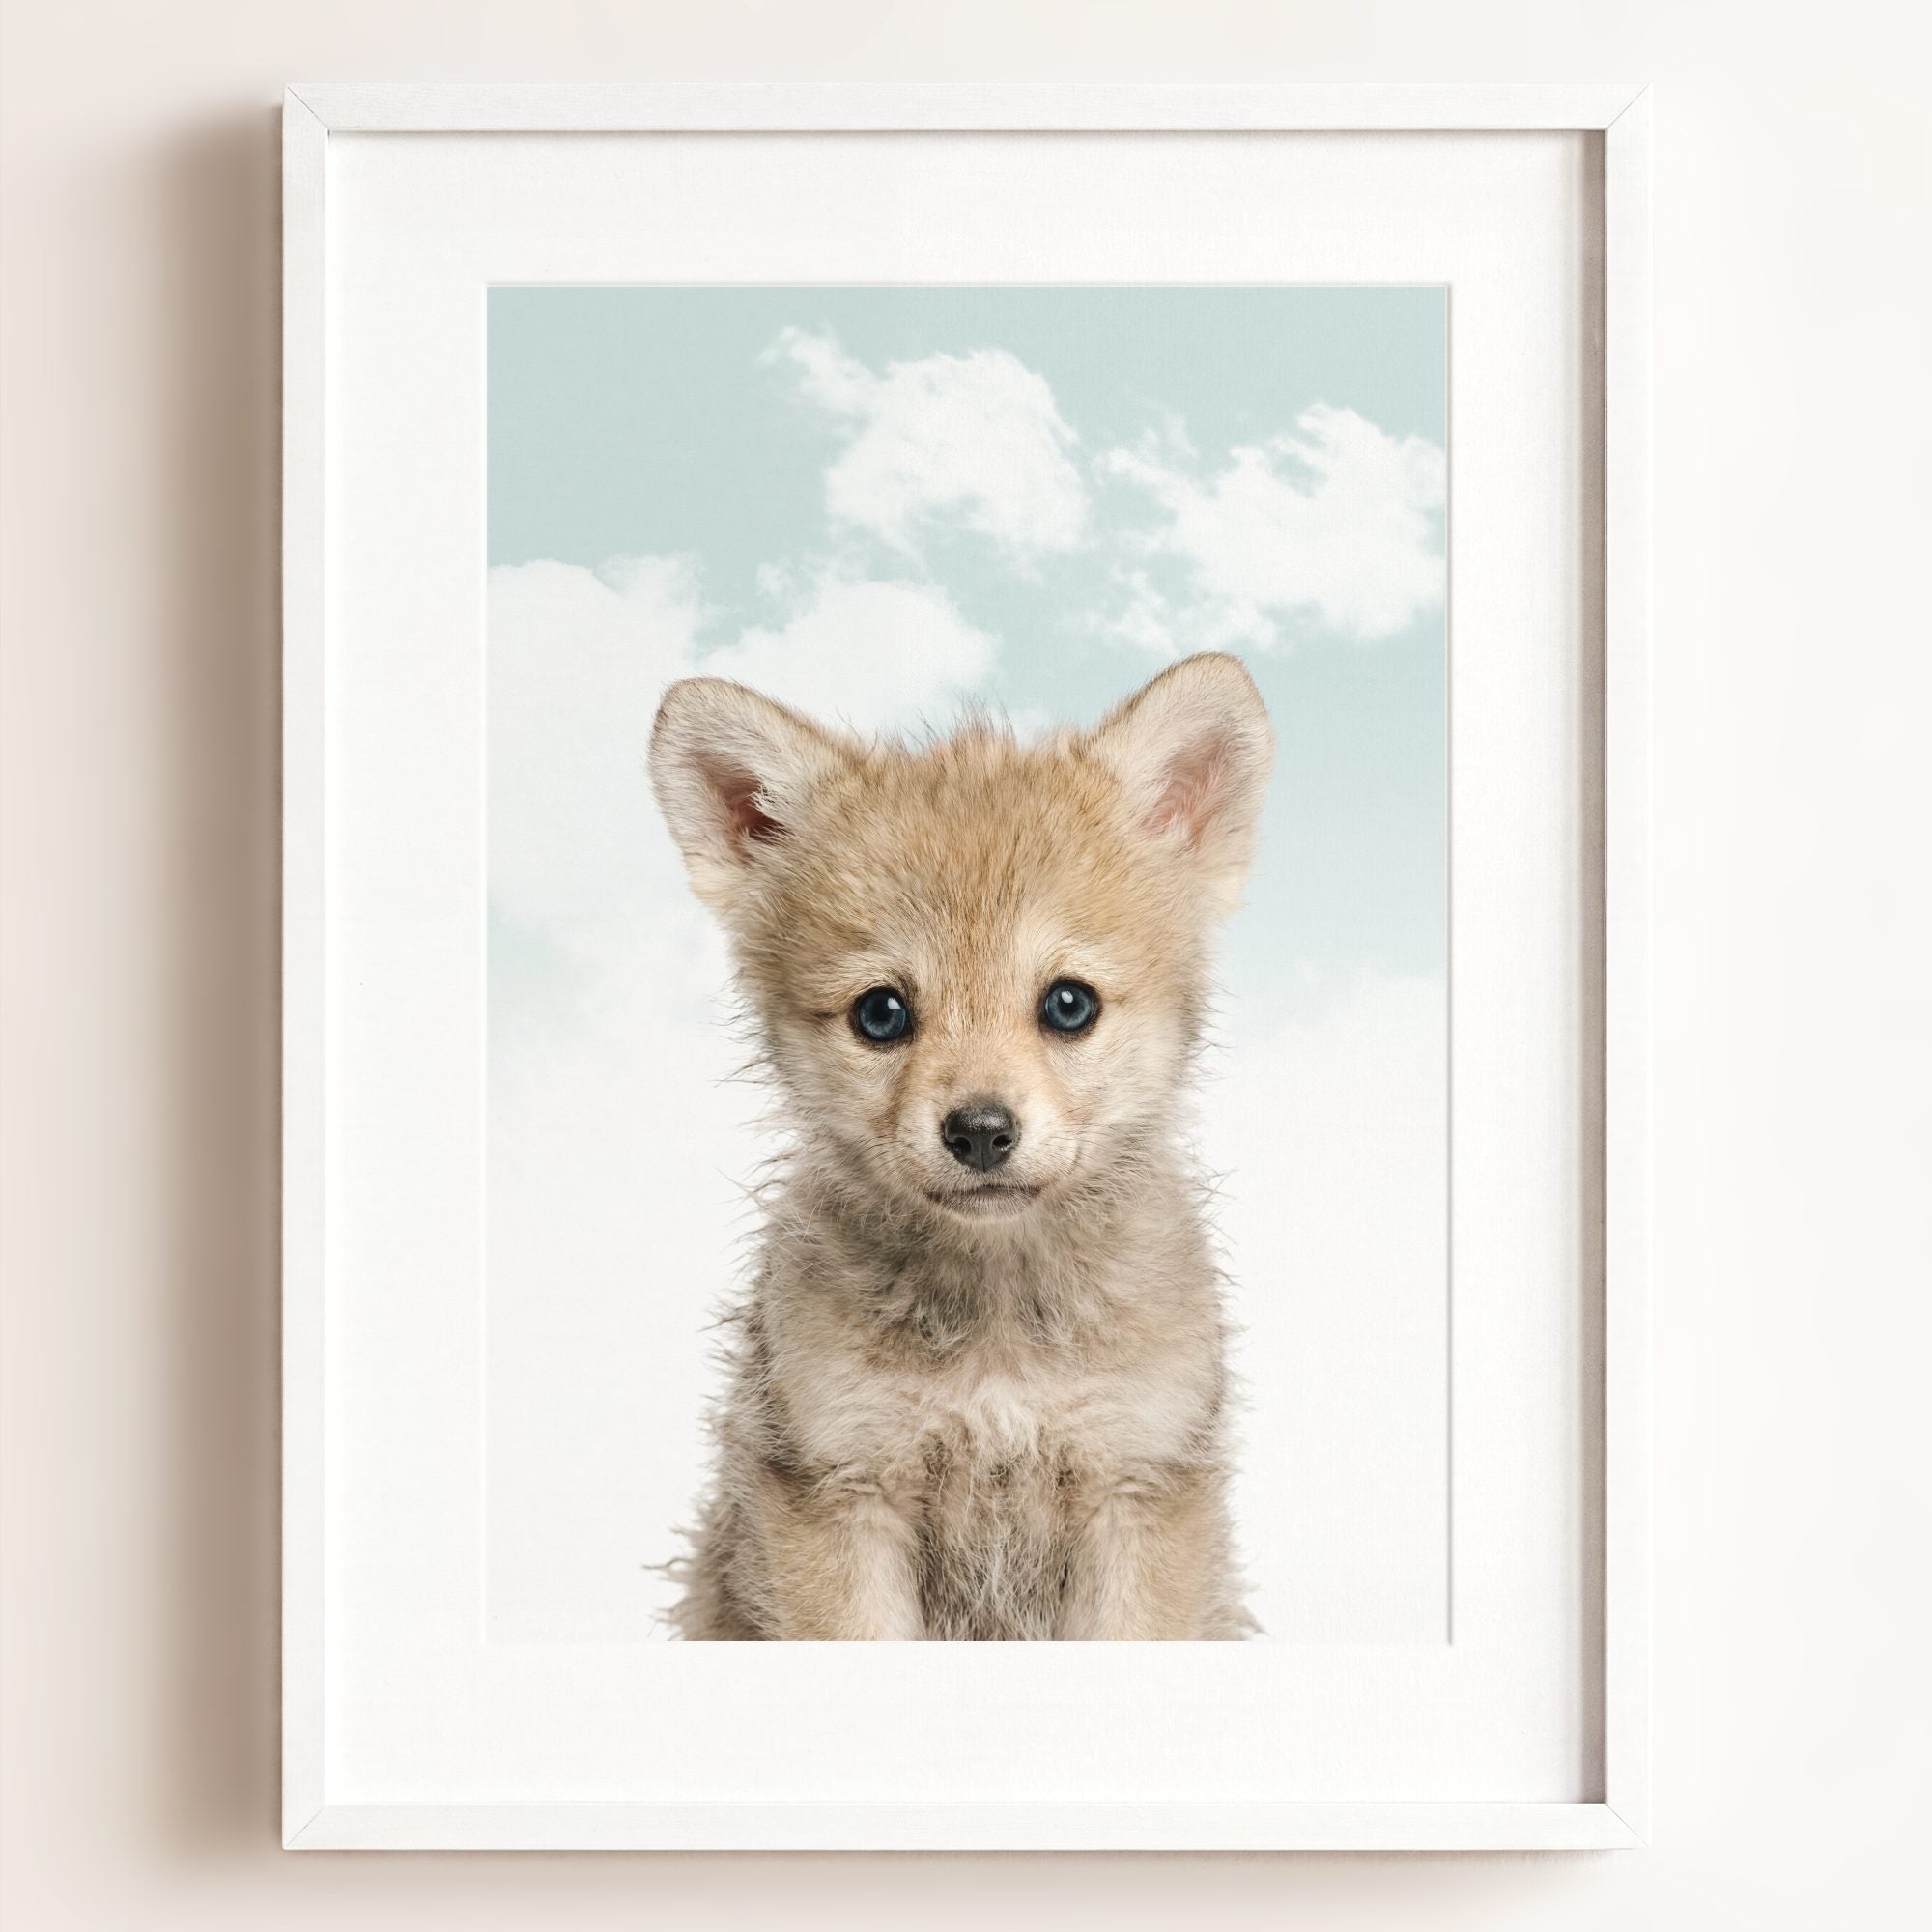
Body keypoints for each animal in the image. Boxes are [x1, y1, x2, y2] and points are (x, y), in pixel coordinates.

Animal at [647, 652, 1273, 1639]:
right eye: (880, 1013)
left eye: (1069, 1003)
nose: (980, 1131)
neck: (998, 1334)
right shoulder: (840, 1490)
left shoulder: (1137, 1486)